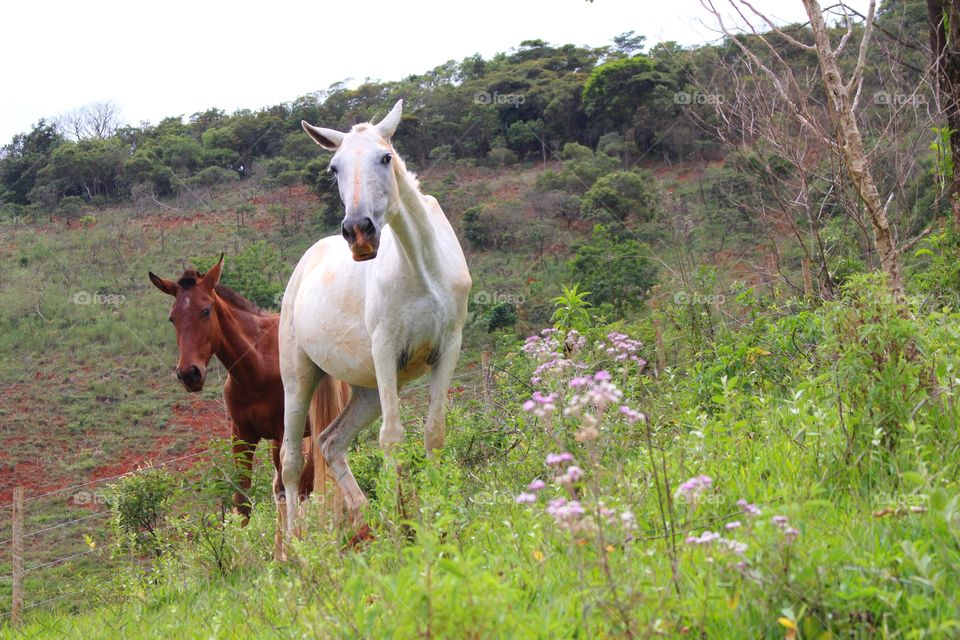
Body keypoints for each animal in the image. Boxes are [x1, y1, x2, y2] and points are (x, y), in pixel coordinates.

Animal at [148, 254, 346, 556]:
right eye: (173, 318)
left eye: (205, 311)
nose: (188, 373)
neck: (257, 366)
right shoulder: (241, 435)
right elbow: (242, 499)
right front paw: (246, 557)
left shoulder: (282, 432)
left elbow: (287, 486)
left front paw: (289, 549)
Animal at [278, 99, 472, 528]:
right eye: (334, 168)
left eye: (385, 157)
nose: (359, 232)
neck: (422, 267)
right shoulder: (386, 349)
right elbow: (392, 437)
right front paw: (403, 525)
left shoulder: (448, 347)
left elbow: (434, 432)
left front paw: (436, 515)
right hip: (298, 377)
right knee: (291, 461)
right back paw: (295, 544)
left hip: (365, 391)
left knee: (331, 442)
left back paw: (368, 519)